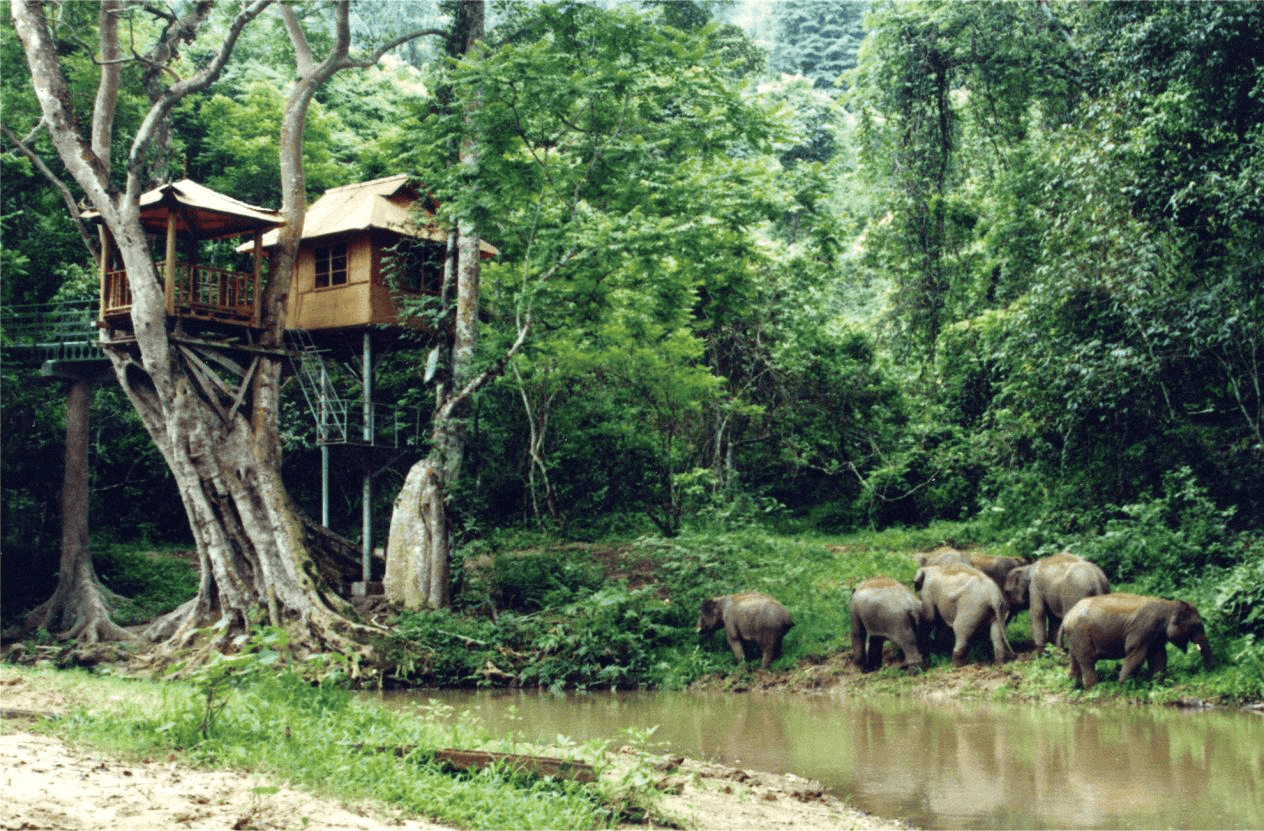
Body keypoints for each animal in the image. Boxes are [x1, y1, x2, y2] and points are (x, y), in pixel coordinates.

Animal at [1061, 593, 1213, 689]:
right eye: (1198, 626)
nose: (1207, 670)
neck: (1169, 604)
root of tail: (1067, 616)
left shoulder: (1156, 634)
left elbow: (1159, 656)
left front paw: (1157, 685)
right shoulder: (1143, 628)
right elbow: (1136, 654)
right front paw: (1122, 687)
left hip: (1075, 637)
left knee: (1075, 657)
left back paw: (1073, 685)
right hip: (1080, 634)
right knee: (1087, 660)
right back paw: (1093, 688)